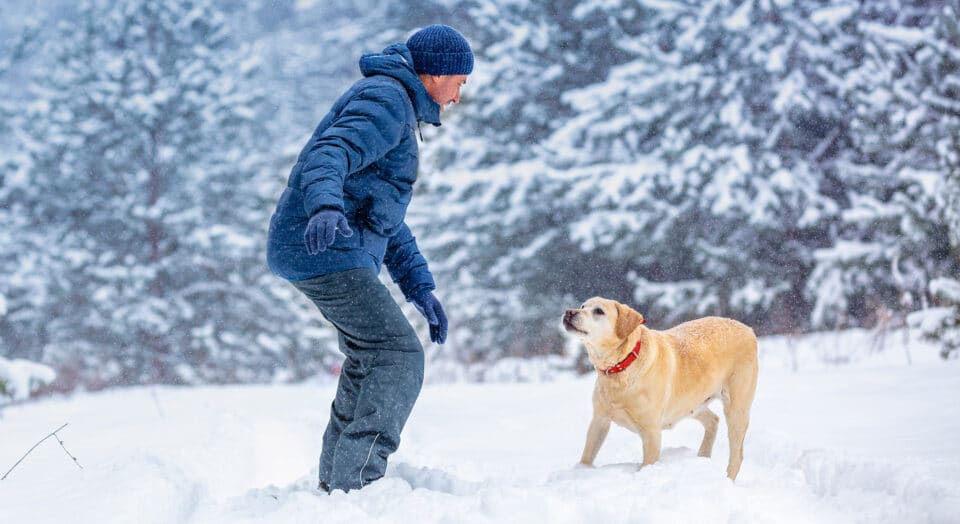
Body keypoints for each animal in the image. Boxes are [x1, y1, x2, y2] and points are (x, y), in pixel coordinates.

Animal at [564, 296, 756, 482]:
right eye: (583, 305)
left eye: (599, 311)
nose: (569, 312)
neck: (621, 366)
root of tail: (748, 329)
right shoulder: (599, 419)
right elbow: (587, 455)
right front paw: (581, 471)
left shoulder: (651, 431)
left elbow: (648, 462)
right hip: (691, 404)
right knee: (713, 420)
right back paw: (702, 456)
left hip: (736, 409)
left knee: (737, 455)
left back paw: (728, 480)